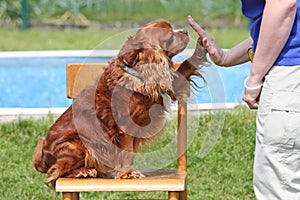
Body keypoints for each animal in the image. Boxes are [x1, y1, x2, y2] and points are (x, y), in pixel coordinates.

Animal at [32, 19, 206, 188]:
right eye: (170, 35)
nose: (185, 31)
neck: (135, 70)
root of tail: (42, 157)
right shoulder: (125, 126)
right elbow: (127, 152)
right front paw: (128, 174)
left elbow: (187, 65)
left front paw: (201, 47)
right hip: (78, 145)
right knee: (57, 172)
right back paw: (83, 172)